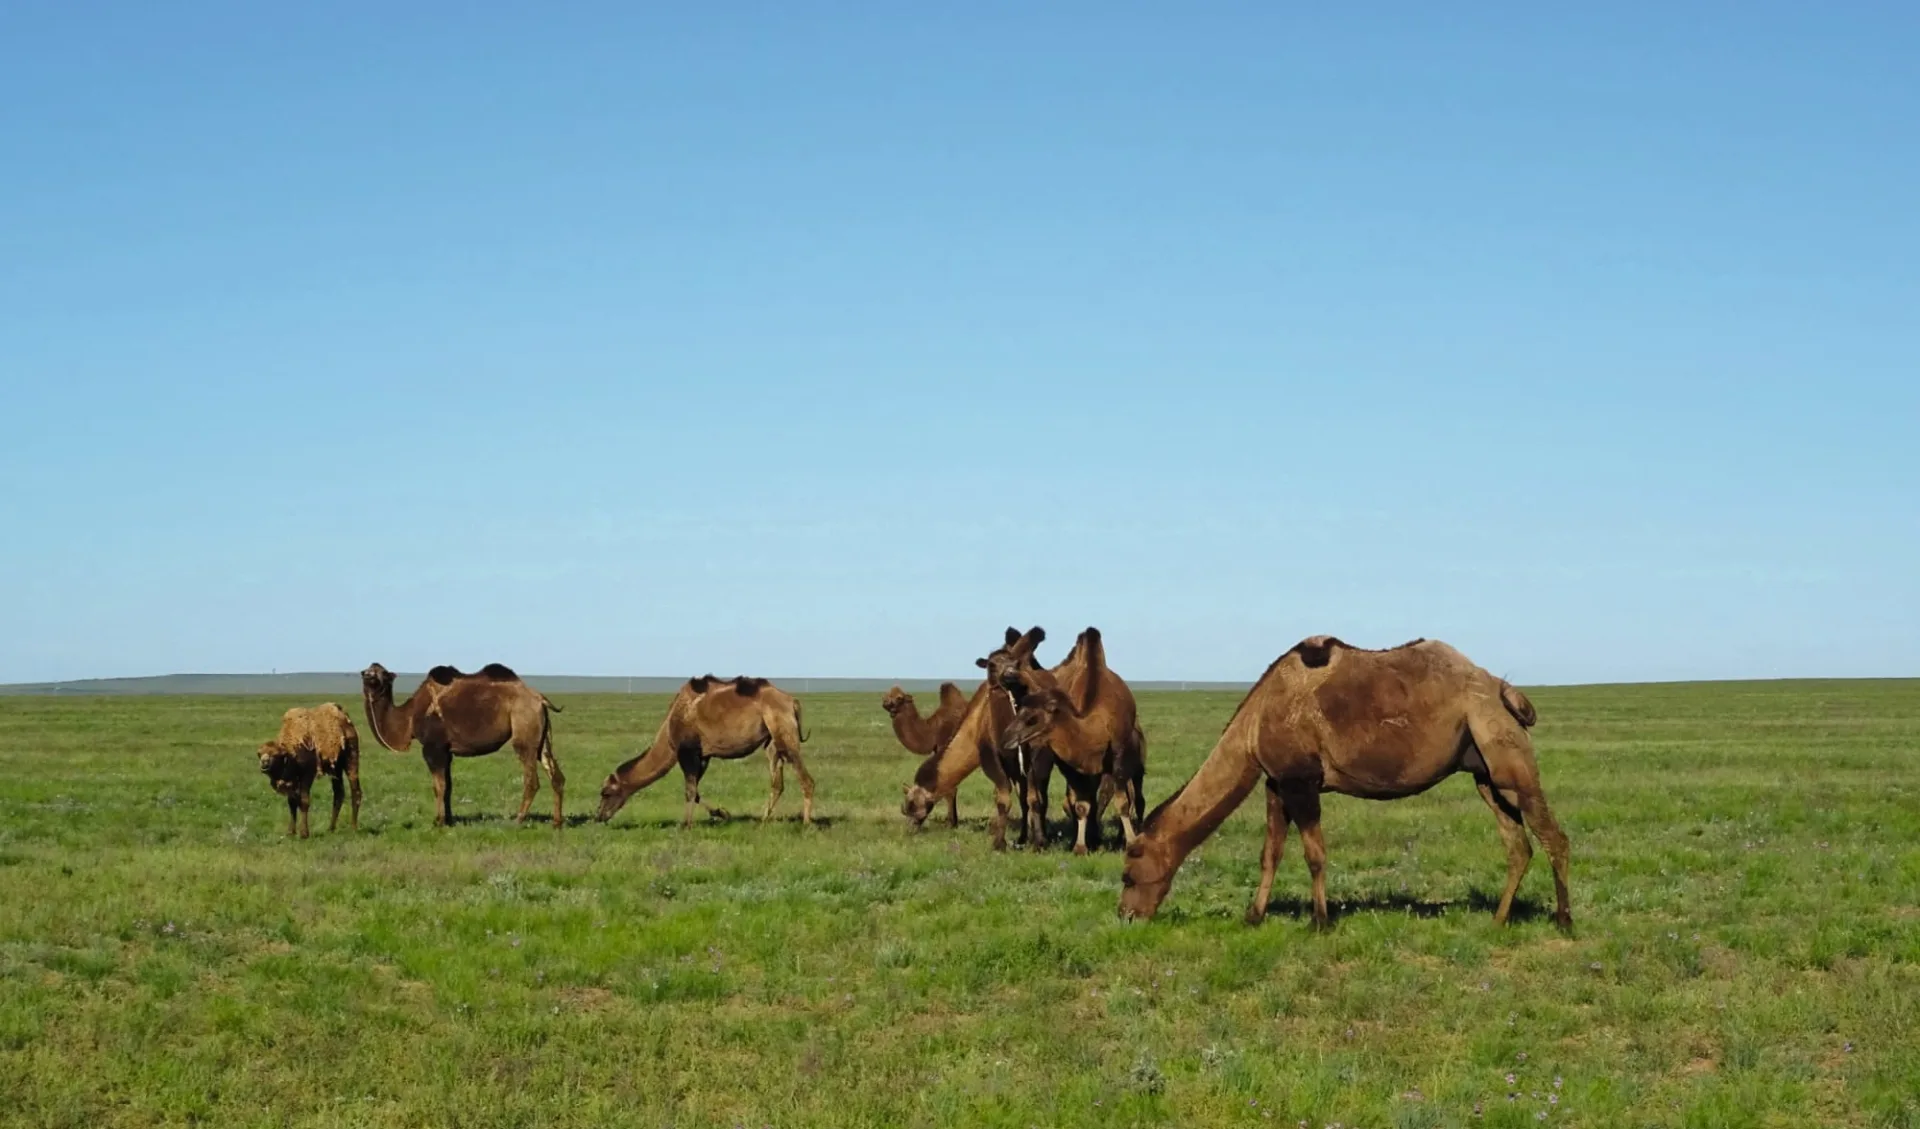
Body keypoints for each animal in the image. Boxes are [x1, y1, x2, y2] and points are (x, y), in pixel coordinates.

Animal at [360, 660, 564, 829]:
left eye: (381, 673)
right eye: (368, 671)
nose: (367, 675)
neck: (409, 717)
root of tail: (540, 699)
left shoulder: (433, 748)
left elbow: (438, 786)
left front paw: (438, 822)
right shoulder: (446, 751)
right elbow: (448, 786)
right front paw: (449, 820)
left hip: (524, 730)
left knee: (531, 780)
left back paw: (517, 820)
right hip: (541, 736)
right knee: (556, 775)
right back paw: (557, 823)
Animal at [595, 672, 814, 829]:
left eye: (606, 793)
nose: (598, 816)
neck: (670, 728)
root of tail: (792, 701)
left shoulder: (687, 751)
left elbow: (690, 790)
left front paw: (686, 825)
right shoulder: (703, 755)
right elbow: (696, 791)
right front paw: (722, 814)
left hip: (783, 730)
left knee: (806, 779)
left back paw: (805, 824)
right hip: (771, 742)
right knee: (777, 783)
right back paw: (763, 821)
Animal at [883, 679, 975, 829]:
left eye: (899, 698)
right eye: (885, 695)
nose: (885, 702)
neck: (933, 730)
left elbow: (950, 789)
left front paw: (951, 823)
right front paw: (953, 821)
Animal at [983, 625, 1144, 856]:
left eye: (1033, 719)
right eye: (1020, 711)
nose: (1007, 737)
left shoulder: (1118, 754)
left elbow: (1121, 802)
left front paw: (1130, 843)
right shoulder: (1071, 764)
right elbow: (1081, 804)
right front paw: (1079, 846)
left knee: (1133, 797)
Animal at [1121, 633, 1566, 933]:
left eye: (1128, 874)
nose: (1125, 914)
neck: (1255, 723)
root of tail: (1503, 689)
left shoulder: (1301, 781)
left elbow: (1314, 854)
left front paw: (1320, 921)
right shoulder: (1276, 784)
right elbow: (1270, 854)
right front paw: (1253, 916)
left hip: (1506, 756)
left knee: (1552, 835)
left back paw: (1564, 920)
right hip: (1484, 775)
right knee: (1518, 845)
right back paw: (1499, 920)